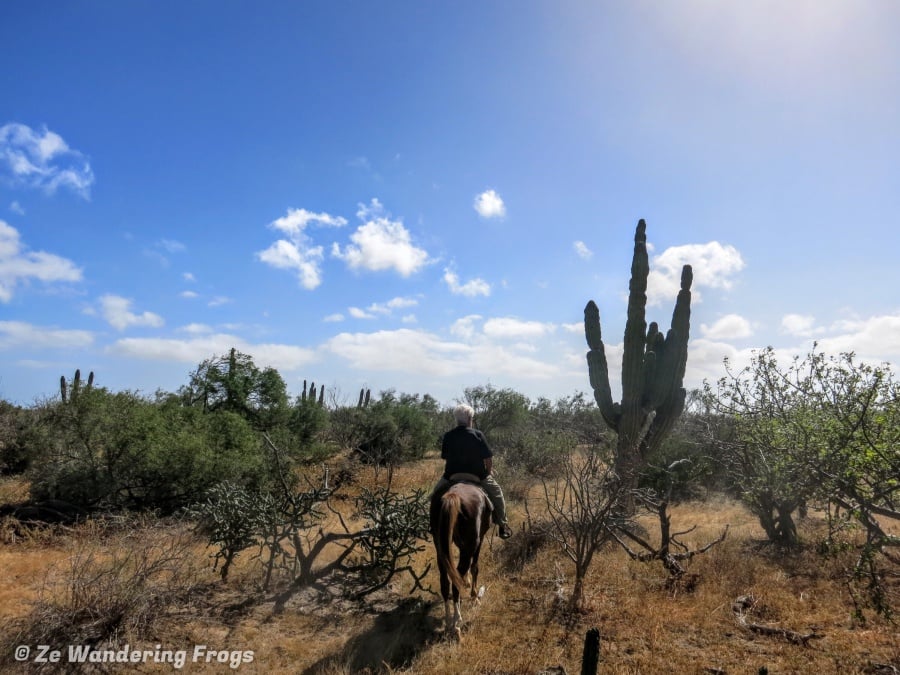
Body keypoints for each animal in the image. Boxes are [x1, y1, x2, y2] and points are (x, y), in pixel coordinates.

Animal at [432, 480, 496, 640]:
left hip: (440, 546)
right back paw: (456, 623)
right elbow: (474, 567)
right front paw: (474, 597)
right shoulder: (478, 541)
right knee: (457, 579)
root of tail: (452, 495)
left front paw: (466, 583)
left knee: (445, 580)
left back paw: (448, 621)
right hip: (471, 543)